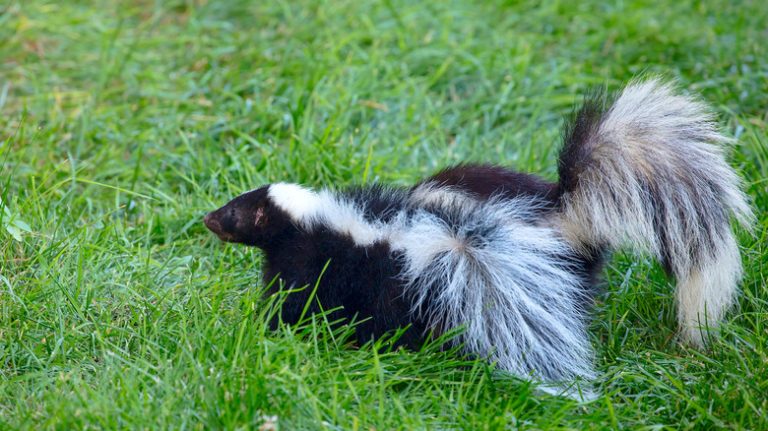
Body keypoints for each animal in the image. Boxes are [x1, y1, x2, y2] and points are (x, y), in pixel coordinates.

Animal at [202, 77, 752, 392]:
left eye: (234, 213)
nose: (206, 218)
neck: (315, 220)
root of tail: (568, 208)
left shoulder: (327, 263)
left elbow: (297, 300)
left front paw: (270, 329)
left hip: (452, 282)